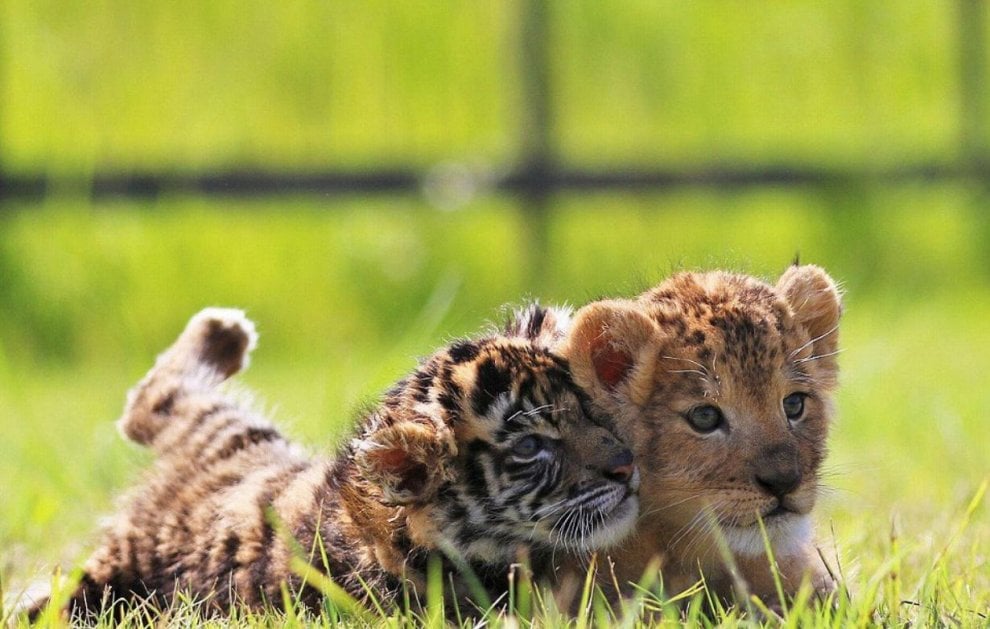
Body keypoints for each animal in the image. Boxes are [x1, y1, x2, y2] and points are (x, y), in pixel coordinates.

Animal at [26, 307, 640, 620]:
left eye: (583, 405)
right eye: (530, 448)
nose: (627, 467)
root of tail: (141, 515)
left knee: (150, 405)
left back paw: (222, 334)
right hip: (226, 439)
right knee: (149, 400)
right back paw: (224, 328)